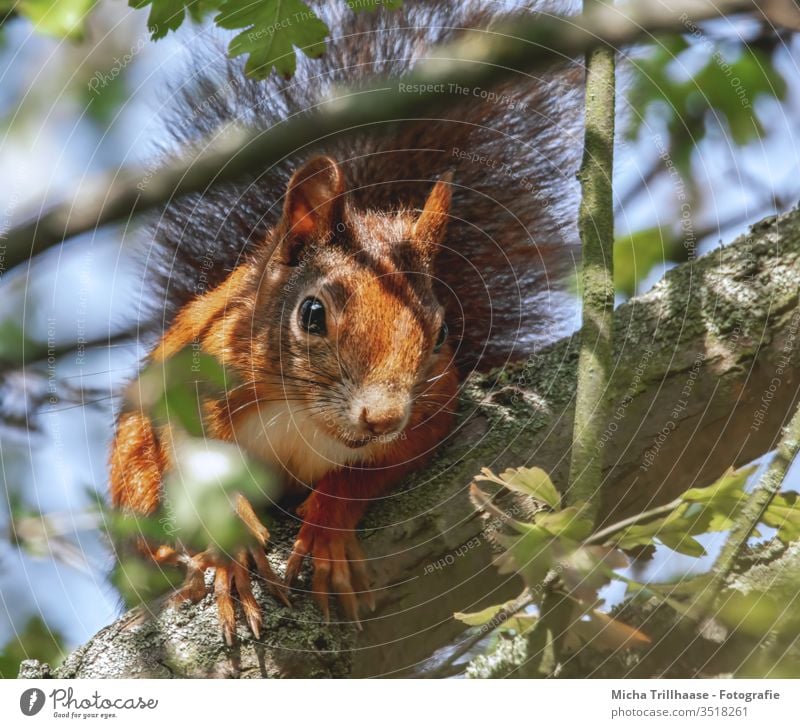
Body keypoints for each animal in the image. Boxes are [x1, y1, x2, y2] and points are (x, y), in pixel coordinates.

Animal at [109, 2, 580, 644]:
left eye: (441, 334)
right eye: (312, 314)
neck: (305, 413)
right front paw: (229, 554)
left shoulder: (430, 414)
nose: (381, 417)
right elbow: (191, 456)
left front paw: (328, 527)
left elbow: (371, 472)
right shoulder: (198, 375)